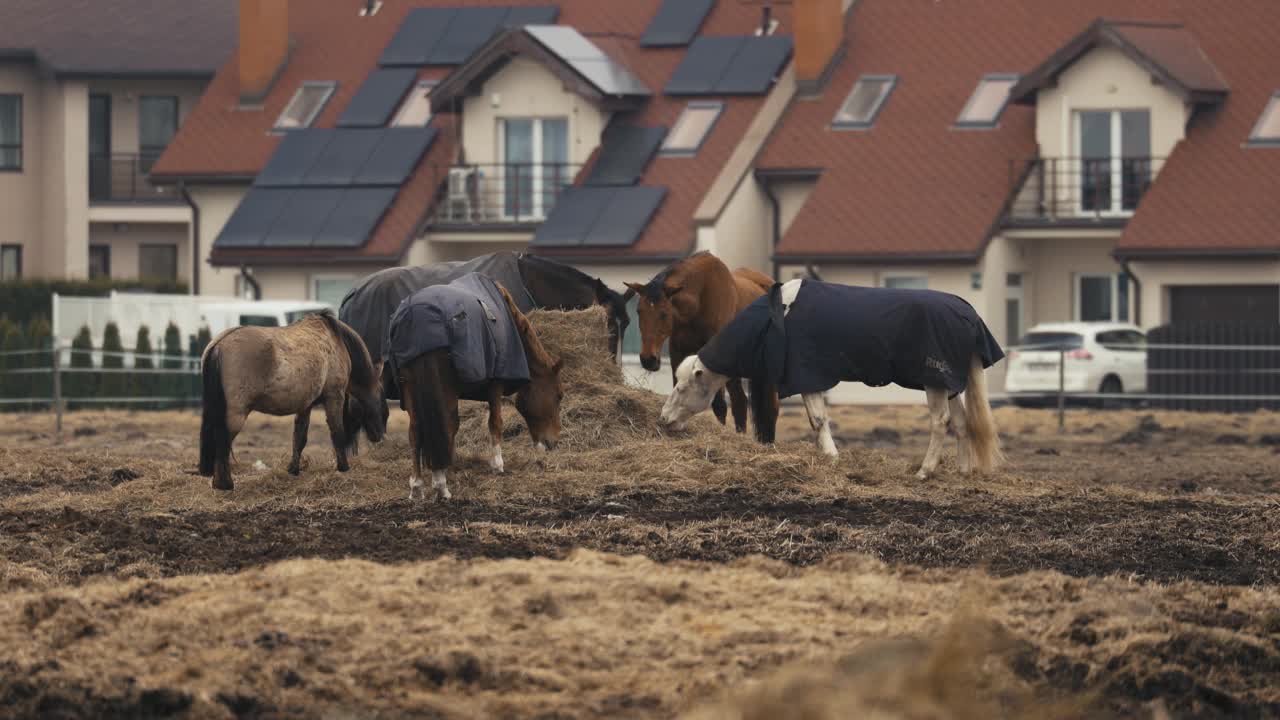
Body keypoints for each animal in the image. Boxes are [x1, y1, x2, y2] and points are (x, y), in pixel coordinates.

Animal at [197, 311, 386, 489]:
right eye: (381, 396)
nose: (379, 435)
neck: (335, 339)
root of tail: (218, 345)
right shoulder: (334, 396)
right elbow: (337, 432)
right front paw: (343, 467)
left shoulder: (305, 405)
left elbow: (299, 437)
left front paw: (293, 469)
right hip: (236, 414)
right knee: (222, 441)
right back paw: (224, 484)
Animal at [386, 270, 563, 499]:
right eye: (559, 396)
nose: (554, 442)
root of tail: (415, 318)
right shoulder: (495, 382)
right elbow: (495, 422)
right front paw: (497, 465)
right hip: (444, 390)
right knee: (444, 423)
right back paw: (440, 485)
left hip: (409, 388)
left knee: (415, 432)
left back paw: (417, 486)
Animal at [624, 249, 773, 438]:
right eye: (639, 311)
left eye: (664, 313)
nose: (648, 360)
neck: (700, 302)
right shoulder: (678, 354)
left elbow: (720, 405)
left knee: (748, 403)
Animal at [660, 279, 1008, 476]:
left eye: (682, 387)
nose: (663, 420)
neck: (776, 316)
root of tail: (969, 314)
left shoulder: (807, 377)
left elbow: (817, 419)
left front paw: (830, 456)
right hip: (950, 385)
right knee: (962, 423)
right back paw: (963, 470)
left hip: (935, 382)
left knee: (941, 422)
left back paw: (925, 471)